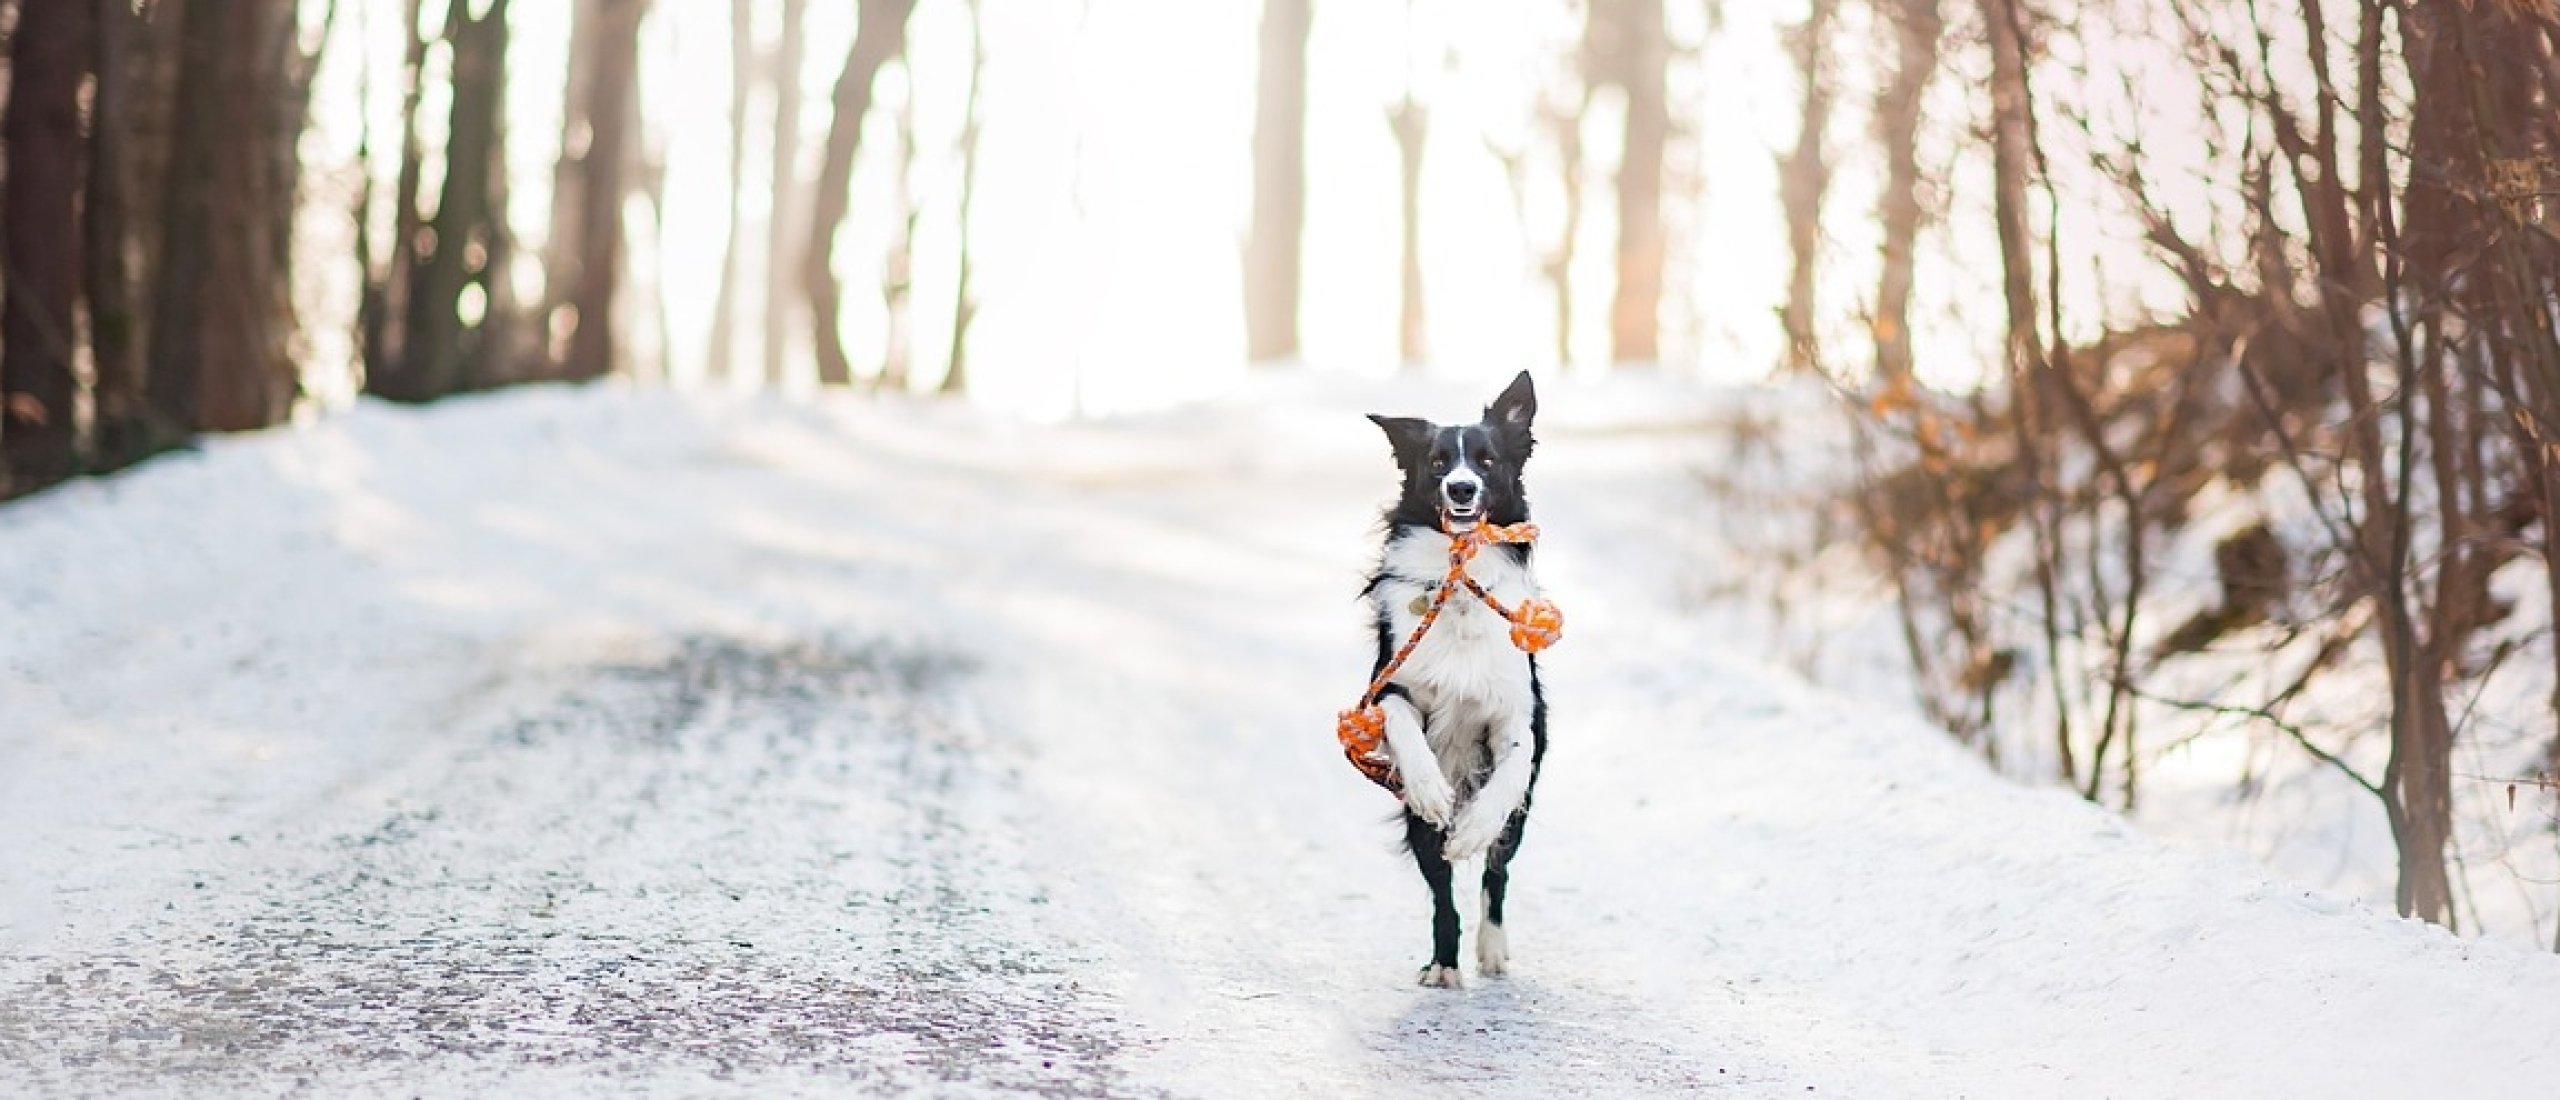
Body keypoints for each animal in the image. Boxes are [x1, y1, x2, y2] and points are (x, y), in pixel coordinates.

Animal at [1361, 370, 1536, 987]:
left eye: (1486, 461)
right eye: (1438, 462)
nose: (1461, 489)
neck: (1459, 586)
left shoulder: (1518, 714)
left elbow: (1510, 775)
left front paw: (1475, 828)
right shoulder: (1388, 686)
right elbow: (1401, 723)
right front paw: (1431, 786)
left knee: (1495, 877)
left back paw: (1492, 948)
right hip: (1416, 830)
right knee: (1440, 888)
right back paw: (1443, 962)